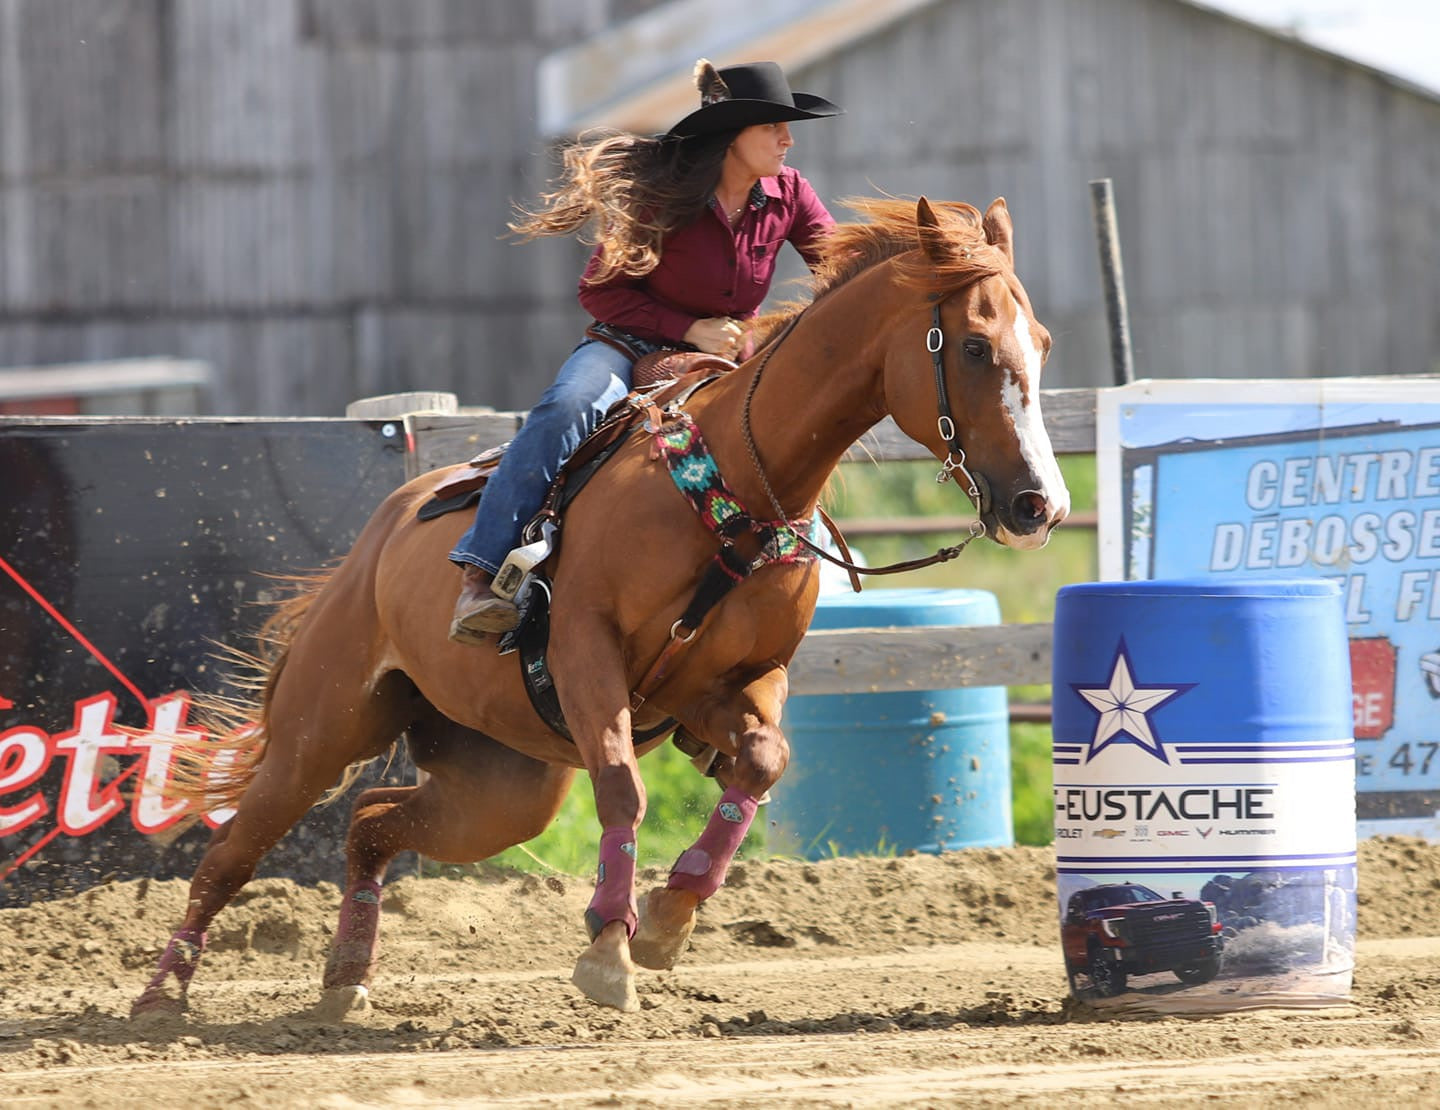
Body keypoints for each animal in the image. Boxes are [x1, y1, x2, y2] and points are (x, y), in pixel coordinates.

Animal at [132, 195, 1071, 1019]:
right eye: (976, 346)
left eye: (1044, 344)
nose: (1042, 505)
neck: (735, 481)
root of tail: (381, 533)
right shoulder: (588, 651)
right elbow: (622, 788)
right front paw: (609, 952)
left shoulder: (731, 682)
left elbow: (761, 762)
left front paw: (666, 920)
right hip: (323, 730)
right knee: (232, 852)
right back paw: (160, 996)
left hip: (501, 789)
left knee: (370, 824)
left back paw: (342, 980)